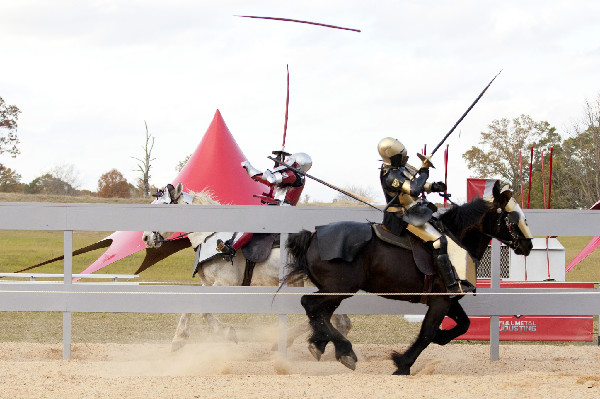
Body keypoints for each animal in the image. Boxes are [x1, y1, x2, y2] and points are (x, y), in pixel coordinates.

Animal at [142, 183, 352, 352]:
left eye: (161, 207)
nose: (145, 237)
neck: (209, 236)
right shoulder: (208, 285)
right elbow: (191, 306)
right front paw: (179, 339)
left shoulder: (224, 284)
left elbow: (204, 311)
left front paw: (227, 332)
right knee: (341, 322)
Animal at [284, 181, 532, 376]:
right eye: (513, 216)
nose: (527, 245)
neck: (456, 240)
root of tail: (313, 235)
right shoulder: (440, 302)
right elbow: (426, 334)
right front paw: (402, 363)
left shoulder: (448, 300)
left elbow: (463, 324)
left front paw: (441, 337)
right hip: (339, 289)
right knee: (310, 304)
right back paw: (344, 350)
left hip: (335, 292)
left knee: (320, 312)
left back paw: (321, 343)